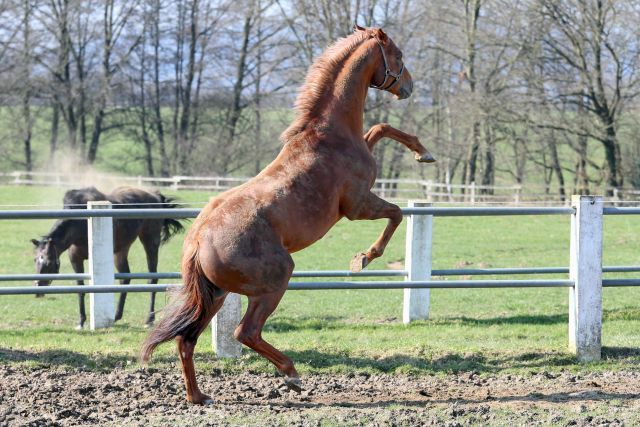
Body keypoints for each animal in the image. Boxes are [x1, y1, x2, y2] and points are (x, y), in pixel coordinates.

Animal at [31, 186, 185, 330]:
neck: (80, 223)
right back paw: (117, 316)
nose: (38, 288)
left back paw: (149, 319)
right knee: (125, 278)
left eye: (49, 262)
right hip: (122, 250)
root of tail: (156, 196)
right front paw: (81, 321)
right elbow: (80, 288)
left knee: (152, 278)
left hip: (150, 241)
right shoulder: (75, 259)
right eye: (35, 260)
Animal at [143, 25, 436, 404]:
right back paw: (292, 375)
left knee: (186, 339)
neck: (329, 136)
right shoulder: (358, 206)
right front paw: (363, 259)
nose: (409, 86)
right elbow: (397, 214)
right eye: (398, 55)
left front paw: (423, 152)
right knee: (245, 333)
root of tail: (198, 241)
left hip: (215, 295)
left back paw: (199, 397)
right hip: (274, 282)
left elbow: (381, 128)